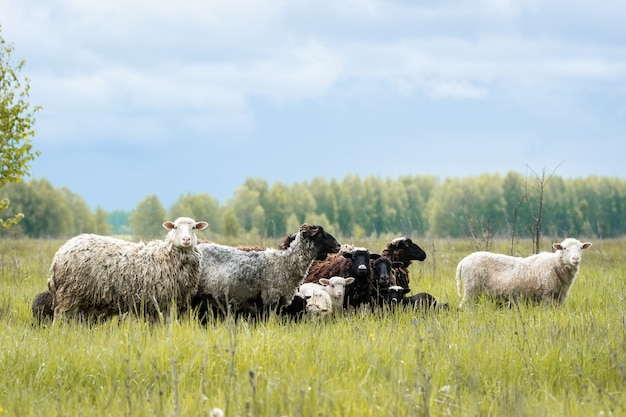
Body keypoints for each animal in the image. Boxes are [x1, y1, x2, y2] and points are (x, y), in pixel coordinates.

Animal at [47, 216, 207, 324]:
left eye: (193, 227)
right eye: (175, 227)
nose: (186, 240)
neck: (164, 256)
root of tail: (60, 254)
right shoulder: (162, 301)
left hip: (83, 299)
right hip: (69, 295)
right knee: (59, 316)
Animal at [454, 236, 588, 308]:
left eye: (580, 248)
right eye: (564, 248)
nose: (575, 259)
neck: (554, 265)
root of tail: (463, 261)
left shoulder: (559, 298)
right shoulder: (547, 296)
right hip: (472, 288)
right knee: (463, 306)